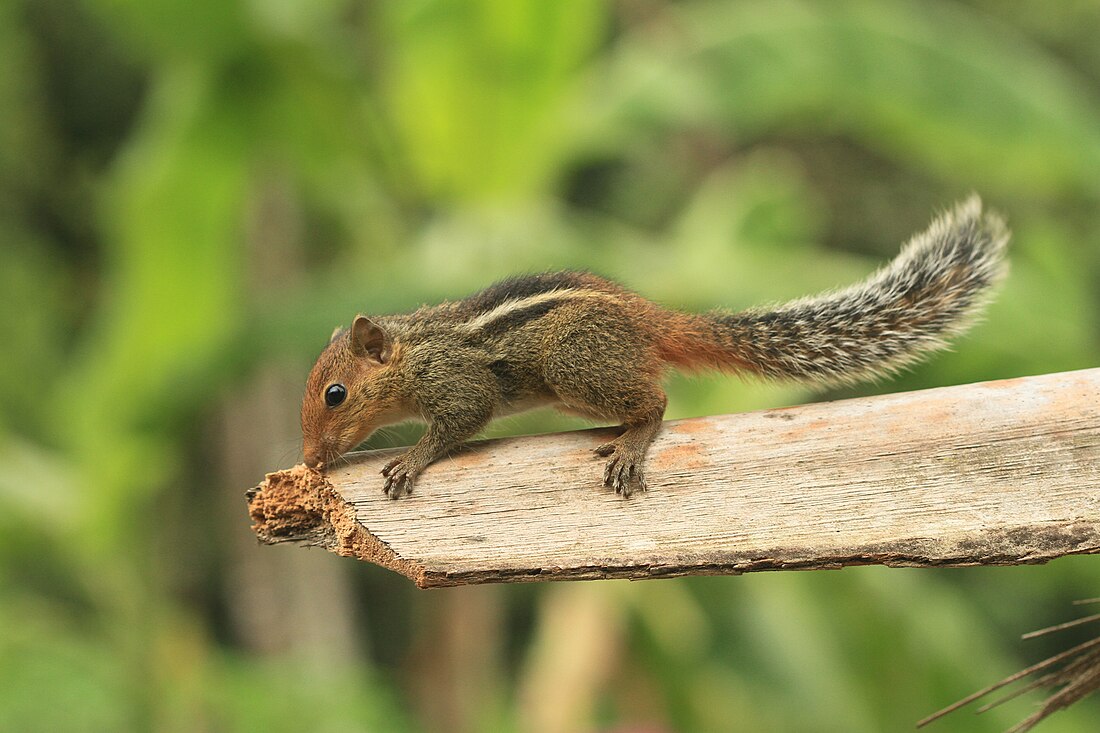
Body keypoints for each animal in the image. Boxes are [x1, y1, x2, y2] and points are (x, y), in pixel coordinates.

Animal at [299, 195, 1007, 497]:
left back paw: (633, 443)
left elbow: (457, 423)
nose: (308, 460)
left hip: (574, 367)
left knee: (657, 402)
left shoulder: (456, 382)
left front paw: (410, 461)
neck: (412, 353)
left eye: (335, 394)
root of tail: (653, 319)